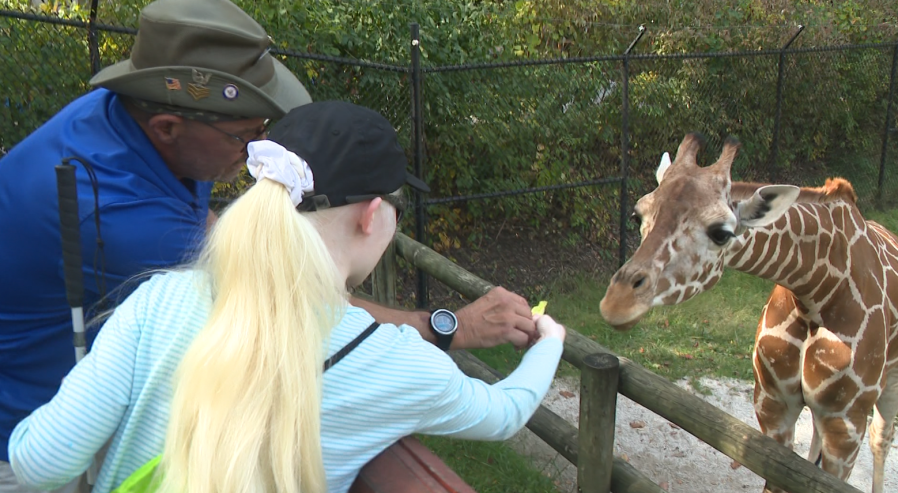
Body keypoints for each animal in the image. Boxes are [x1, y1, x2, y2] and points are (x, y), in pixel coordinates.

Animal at [600, 132, 896, 492]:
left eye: (721, 233)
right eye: (637, 216)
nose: (617, 302)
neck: (815, 291)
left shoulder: (846, 424)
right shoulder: (772, 402)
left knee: (881, 437)